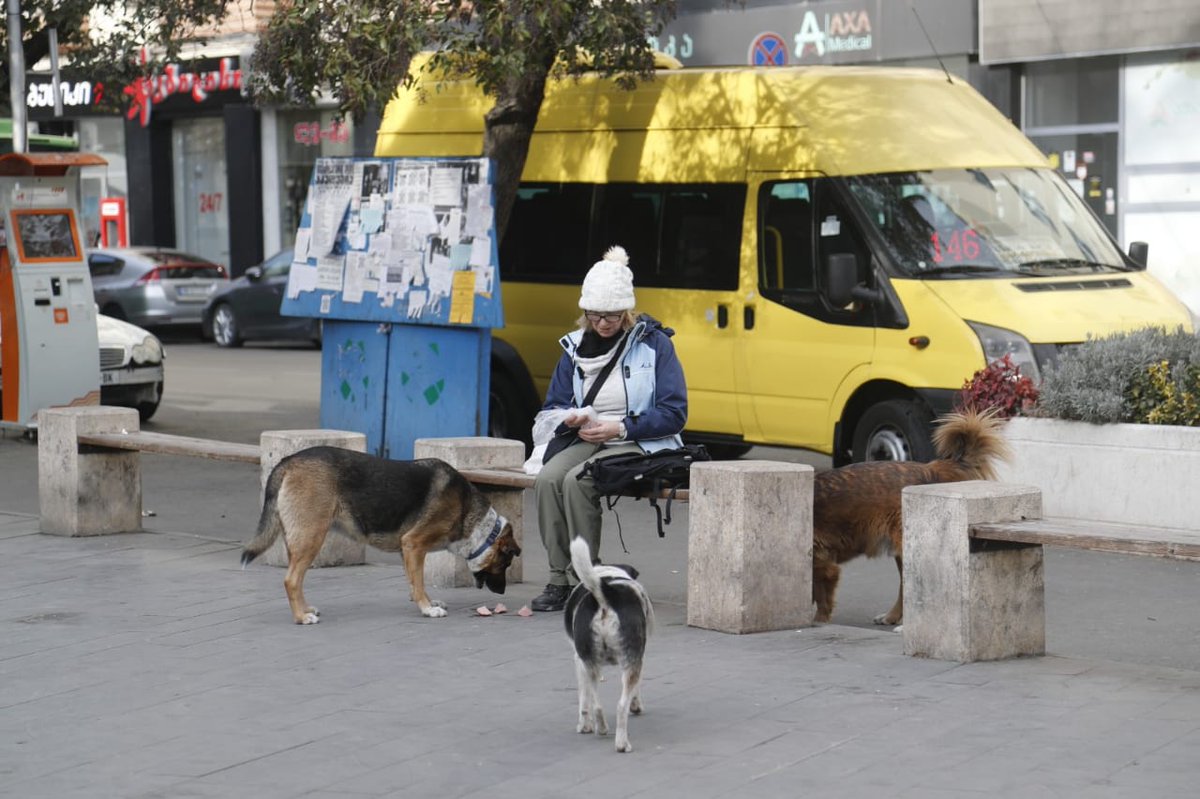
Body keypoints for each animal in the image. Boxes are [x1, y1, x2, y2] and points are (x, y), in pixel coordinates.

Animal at [241, 447, 521, 623]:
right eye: (506, 563)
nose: (502, 594)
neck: (473, 519)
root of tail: (289, 460)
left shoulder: (406, 550)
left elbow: (414, 582)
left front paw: (428, 603)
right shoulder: (414, 544)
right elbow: (419, 582)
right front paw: (427, 609)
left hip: (299, 538)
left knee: (296, 581)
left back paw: (305, 609)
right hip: (312, 536)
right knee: (291, 580)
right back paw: (301, 617)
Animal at [564, 538, 654, 753]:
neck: (605, 574)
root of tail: (604, 594)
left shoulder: (578, 660)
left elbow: (584, 700)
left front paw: (584, 726)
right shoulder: (639, 657)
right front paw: (636, 705)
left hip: (589, 664)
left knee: (596, 704)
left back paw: (604, 730)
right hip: (630, 661)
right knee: (620, 706)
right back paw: (621, 742)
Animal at [812, 408, 1009, 626]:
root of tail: (930, 469)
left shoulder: (821, 564)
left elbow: (821, 599)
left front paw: (818, 622)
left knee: (908, 585)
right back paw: (892, 617)